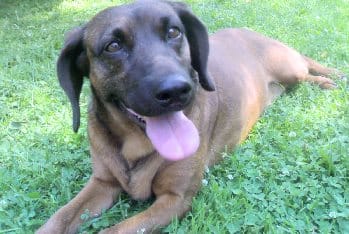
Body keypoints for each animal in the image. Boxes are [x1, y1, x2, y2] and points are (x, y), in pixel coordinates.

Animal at [36, 0, 338, 233]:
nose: (176, 90)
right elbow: (57, 219)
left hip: (290, 68)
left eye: (174, 32)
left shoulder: (174, 199)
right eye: (113, 46)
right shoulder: (102, 184)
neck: (136, 145)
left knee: (308, 69)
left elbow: (114, 230)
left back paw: (329, 79)